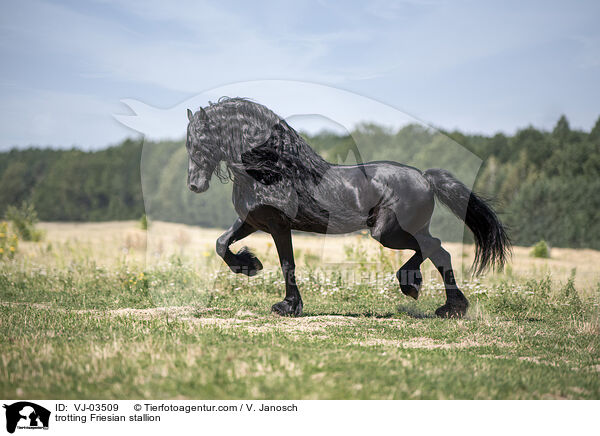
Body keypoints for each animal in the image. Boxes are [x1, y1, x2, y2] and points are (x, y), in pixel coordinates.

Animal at [185, 97, 508, 318]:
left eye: (200, 142)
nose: (194, 185)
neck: (273, 169)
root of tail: (425, 178)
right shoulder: (253, 220)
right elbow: (221, 243)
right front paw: (250, 266)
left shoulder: (279, 226)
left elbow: (287, 263)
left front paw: (287, 306)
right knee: (436, 251)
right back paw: (437, 300)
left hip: (387, 233)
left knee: (436, 249)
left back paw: (428, 294)